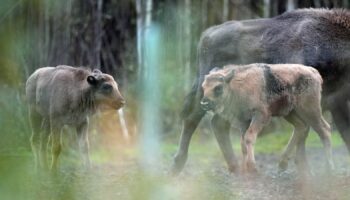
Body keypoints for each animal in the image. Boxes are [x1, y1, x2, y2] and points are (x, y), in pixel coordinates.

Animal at [200, 63, 334, 173]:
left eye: (218, 87)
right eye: (203, 87)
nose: (204, 103)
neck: (235, 85)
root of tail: (314, 72)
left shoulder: (260, 116)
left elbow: (249, 138)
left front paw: (252, 168)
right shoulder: (244, 121)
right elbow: (243, 144)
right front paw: (244, 170)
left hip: (310, 111)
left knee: (324, 130)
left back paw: (328, 169)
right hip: (290, 113)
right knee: (301, 127)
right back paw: (282, 164)